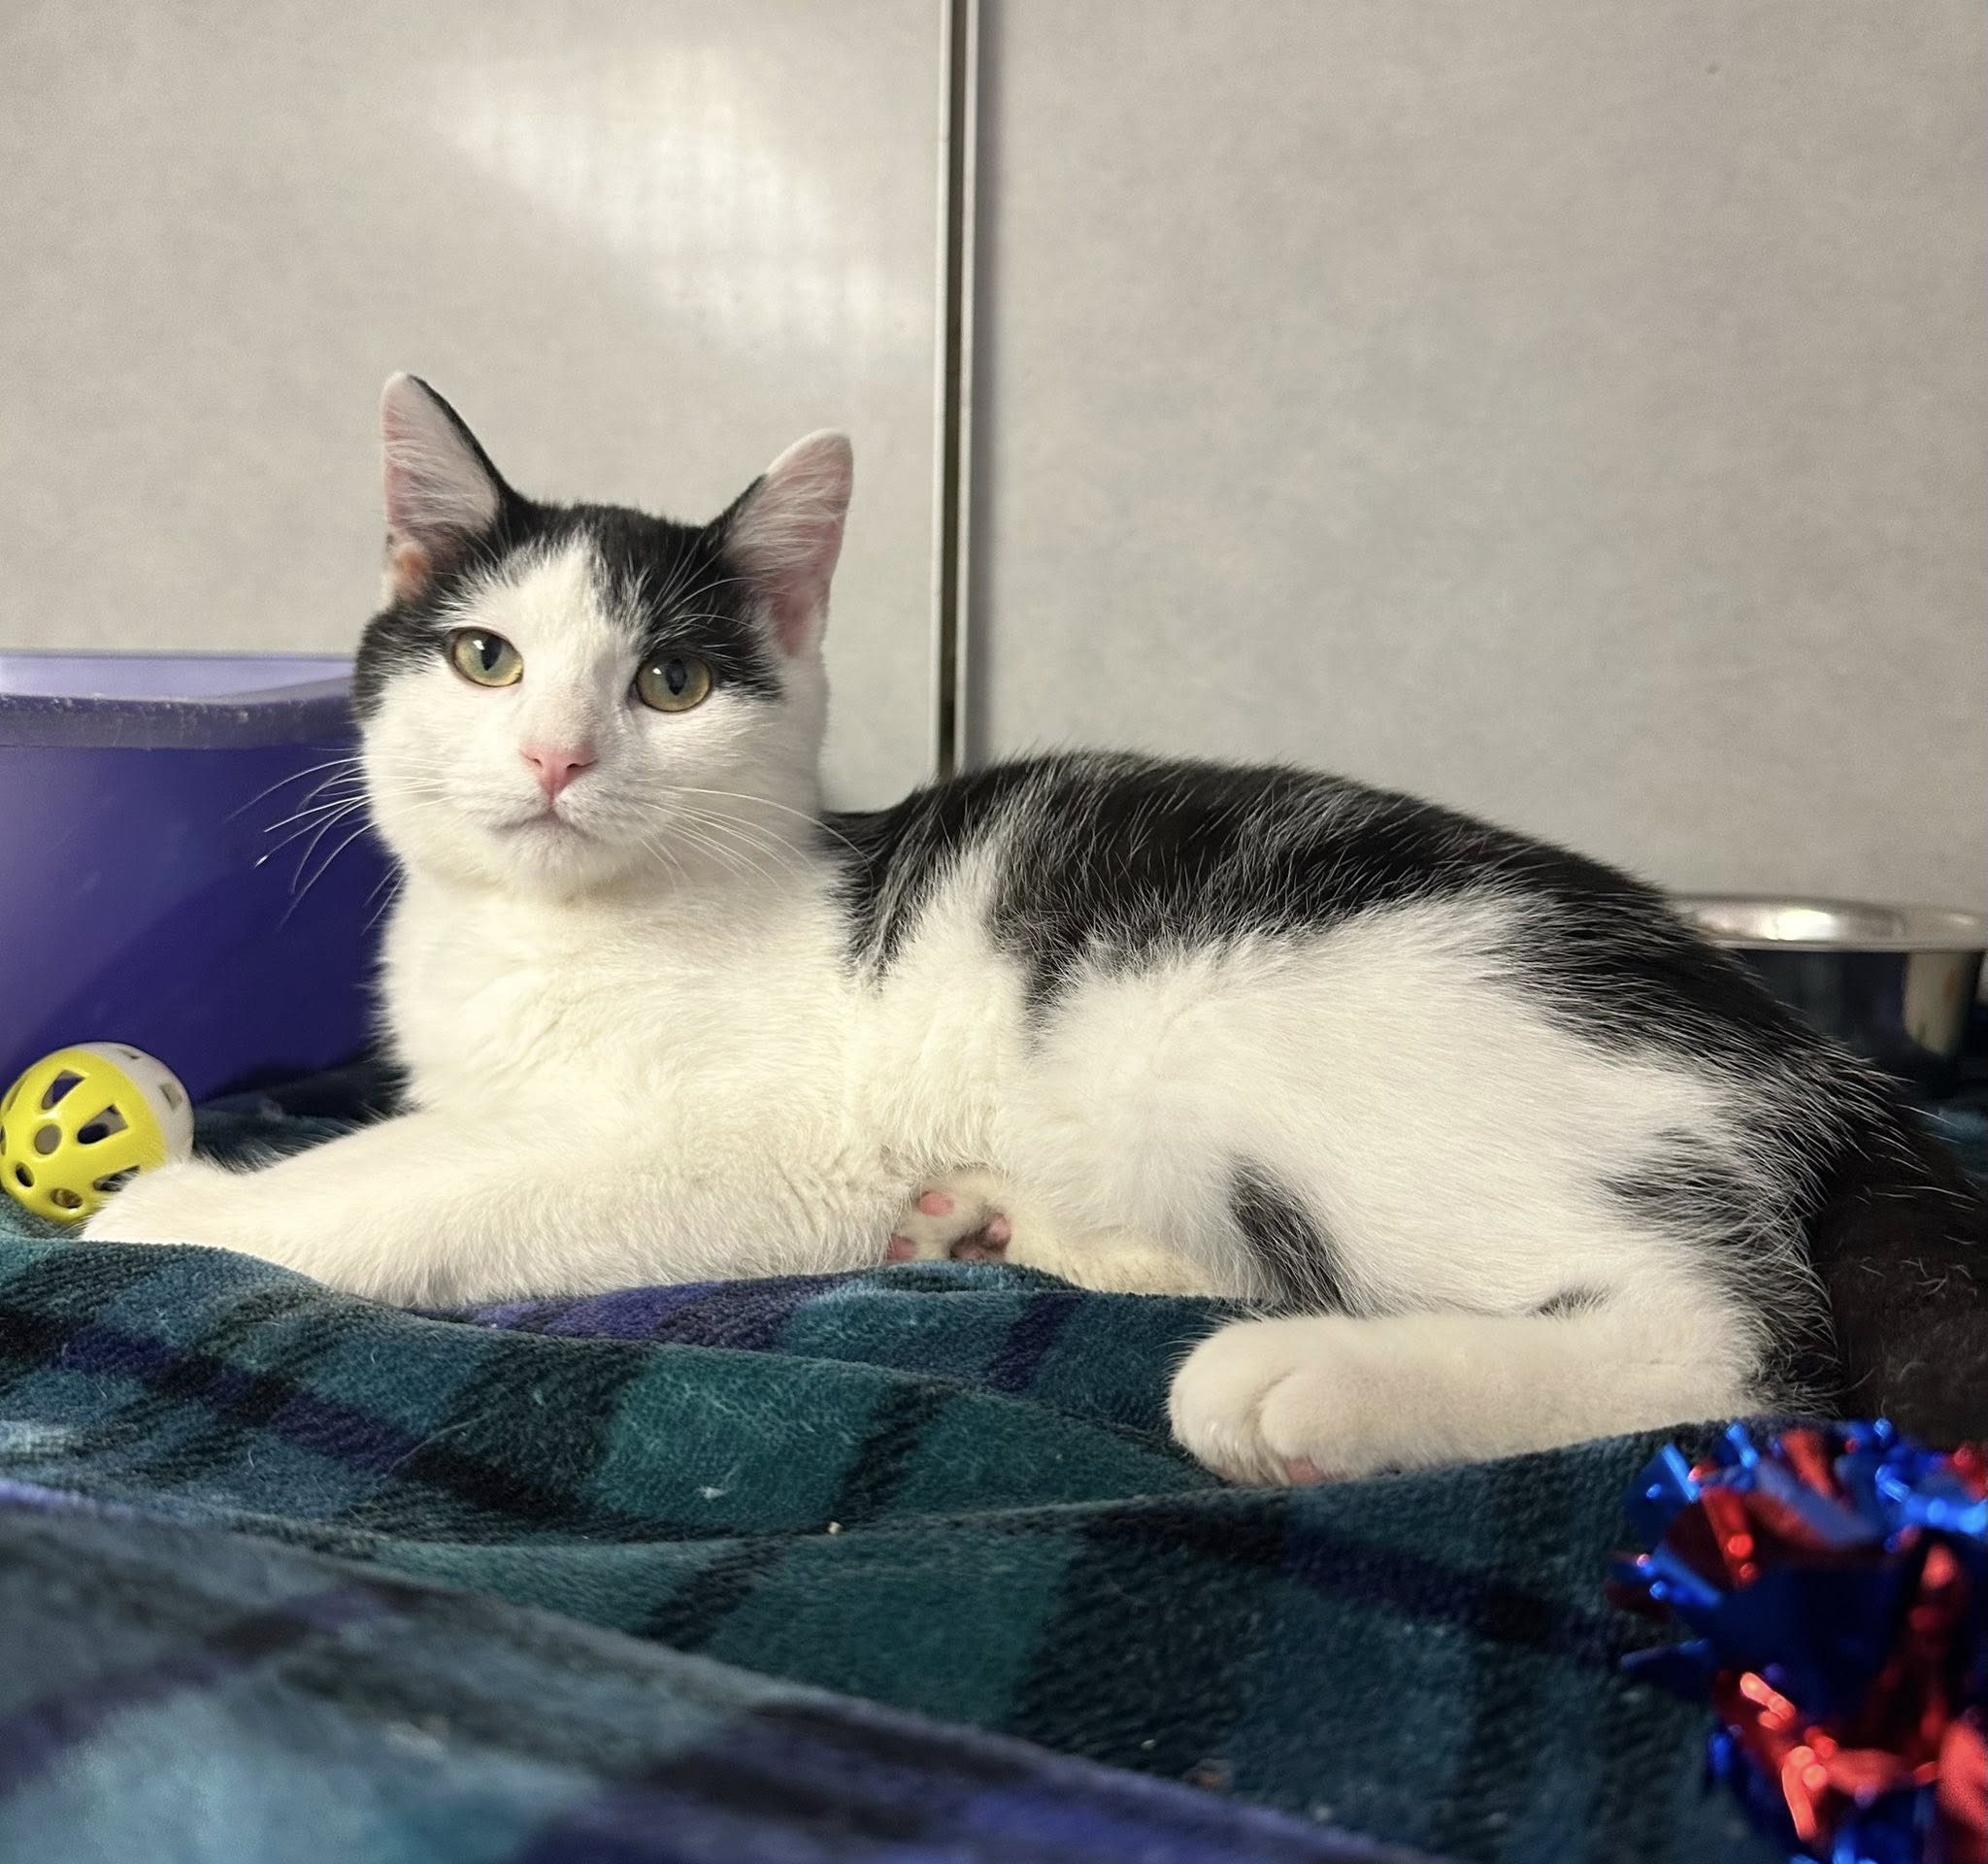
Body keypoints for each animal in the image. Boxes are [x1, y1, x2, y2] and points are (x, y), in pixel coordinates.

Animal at [86, 374, 1988, 1483]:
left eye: (671, 683)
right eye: (486, 658)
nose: (557, 756)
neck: (565, 933)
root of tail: (1804, 1059)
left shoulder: (745, 1148)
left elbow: (421, 1184)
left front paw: (175, 1208)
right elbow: (437, 1137)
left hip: (1281, 1027)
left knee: (1734, 1347)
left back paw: (1297, 1390)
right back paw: (1011, 1227)